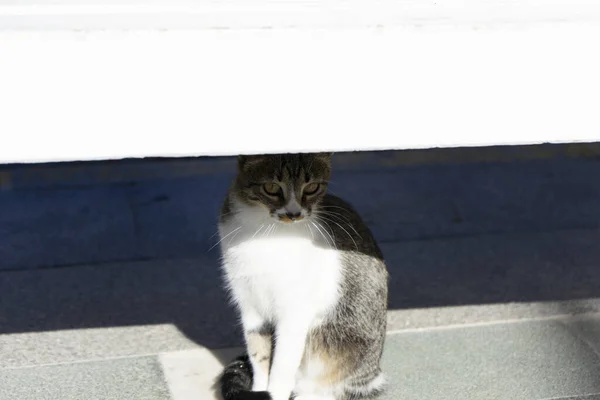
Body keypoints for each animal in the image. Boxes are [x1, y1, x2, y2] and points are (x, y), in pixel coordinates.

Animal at [218, 153, 386, 400]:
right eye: (271, 187)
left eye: (312, 187)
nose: (293, 213)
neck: (265, 231)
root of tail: (375, 371)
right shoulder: (250, 306)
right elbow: (259, 355)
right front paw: (259, 389)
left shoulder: (294, 314)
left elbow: (282, 365)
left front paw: (275, 392)